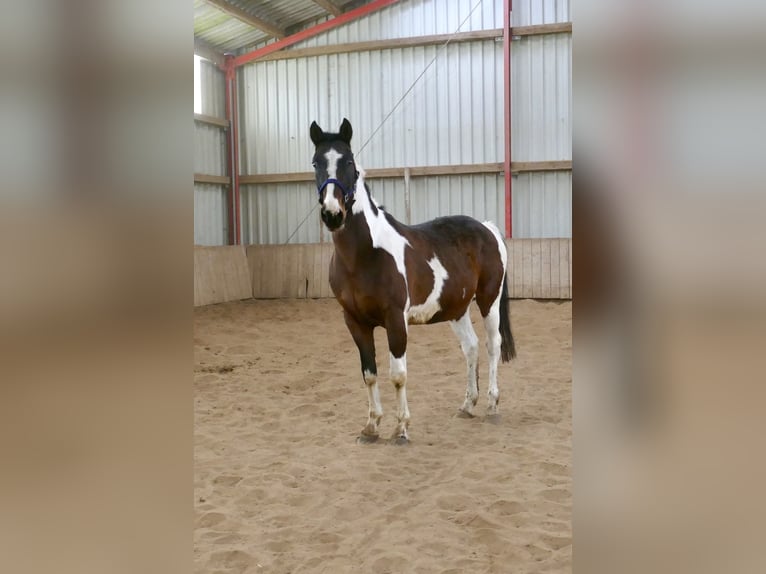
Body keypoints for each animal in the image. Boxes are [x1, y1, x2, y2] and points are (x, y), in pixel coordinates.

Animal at [310, 118, 516, 444]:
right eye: (316, 162)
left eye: (349, 162)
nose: (332, 213)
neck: (364, 255)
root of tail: (486, 227)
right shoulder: (354, 321)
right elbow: (369, 374)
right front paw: (371, 427)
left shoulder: (396, 319)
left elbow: (398, 375)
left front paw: (401, 428)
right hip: (456, 308)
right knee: (470, 347)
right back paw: (467, 405)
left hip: (489, 301)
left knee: (492, 344)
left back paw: (492, 406)